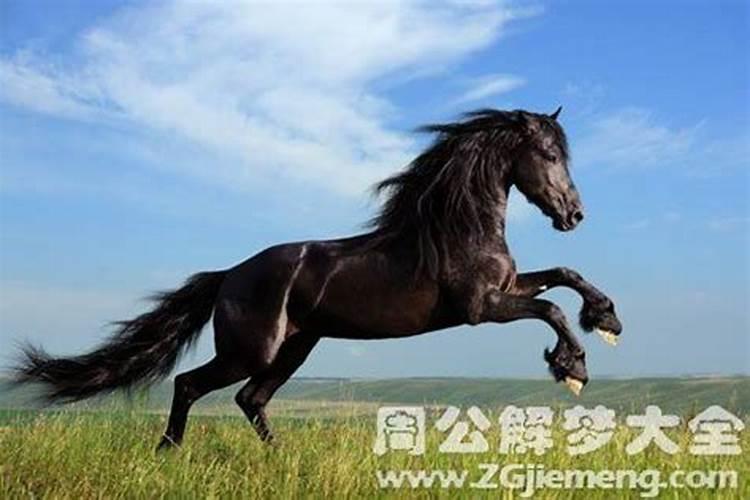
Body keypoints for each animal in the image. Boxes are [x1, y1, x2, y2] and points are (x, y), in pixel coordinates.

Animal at [13, 107, 622, 449]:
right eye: (548, 154)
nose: (574, 214)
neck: (457, 228)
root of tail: (228, 276)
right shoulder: (480, 307)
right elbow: (550, 308)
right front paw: (573, 368)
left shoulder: (506, 288)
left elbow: (564, 275)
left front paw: (607, 319)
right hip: (251, 350)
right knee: (192, 385)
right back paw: (168, 452)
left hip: (295, 348)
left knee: (251, 399)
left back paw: (278, 457)